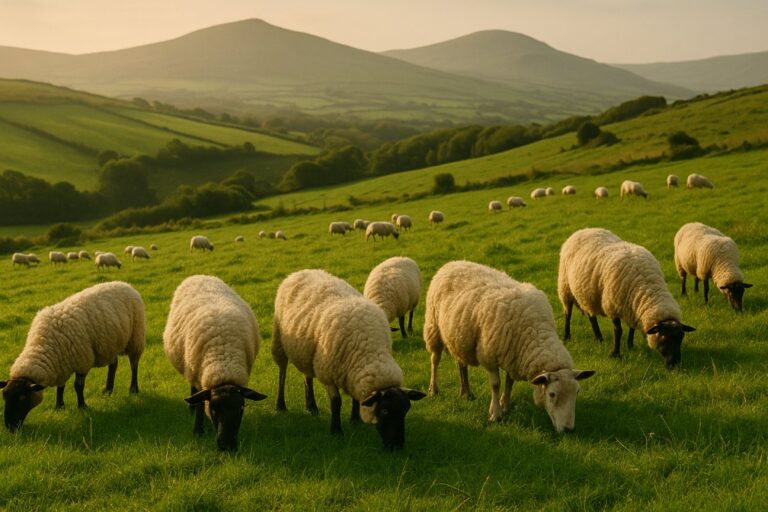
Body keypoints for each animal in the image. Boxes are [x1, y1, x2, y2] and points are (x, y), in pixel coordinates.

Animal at [0, 281, 144, 432]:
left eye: (22, 398)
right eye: (4, 396)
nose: (10, 427)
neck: (42, 344)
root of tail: (125, 284)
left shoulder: (82, 362)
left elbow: (78, 386)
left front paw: (82, 406)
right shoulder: (61, 366)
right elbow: (60, 387)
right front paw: (59, 406)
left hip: (136, 337)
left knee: (134, 365)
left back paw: (133, 389)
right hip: (110, 345)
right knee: (113, 365)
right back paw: (108, 390)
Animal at [163, 275, 266, 452]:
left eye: (241, 408)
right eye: (213, 409)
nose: (227, 446)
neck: (223, 363)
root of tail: (199, 275)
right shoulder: (200, 378)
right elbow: (200, 405)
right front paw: (198, 430)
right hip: (191, 369)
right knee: (193, 392)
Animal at [272, 269, 426, 449]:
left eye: (406, 411)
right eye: (385, 411)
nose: (396, 447)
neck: (368, 351)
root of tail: (300, 272)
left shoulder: (353, 372)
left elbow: (355, 399)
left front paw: (355, 420)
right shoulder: (328, 373)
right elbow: (336, 402)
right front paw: (336, 431)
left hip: (306, 353)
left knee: (307, 378)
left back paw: (312, 407)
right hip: (280, 341)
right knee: (282, 373)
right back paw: (281, 405)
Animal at [424, 261, 595, 430]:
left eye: (577, 392)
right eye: (552, 394)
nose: (568, 429)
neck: (533, 328)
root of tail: (453, 262)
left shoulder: (514, 357)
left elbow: (509, 383)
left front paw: (504, 405)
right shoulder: (490, 357)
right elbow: (496, 385)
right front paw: (495, 414)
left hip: (459, 337)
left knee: (461, 364)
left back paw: (466, 392)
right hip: (434, 328)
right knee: (435, 360)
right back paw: (433, 389)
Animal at [558, 228, 695, 369]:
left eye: (681, 338)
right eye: (664, 337)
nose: (674, 364)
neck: (646, 285)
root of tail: (584, 230)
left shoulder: (633, 307)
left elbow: (632, 328)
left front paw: (630, 345)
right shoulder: (613, 306)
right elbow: (618, 331)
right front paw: (615, 354)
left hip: (588, 296)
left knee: (591, 317)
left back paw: (599, 338)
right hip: (565, 287)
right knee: (568, 314)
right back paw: (567, 337)